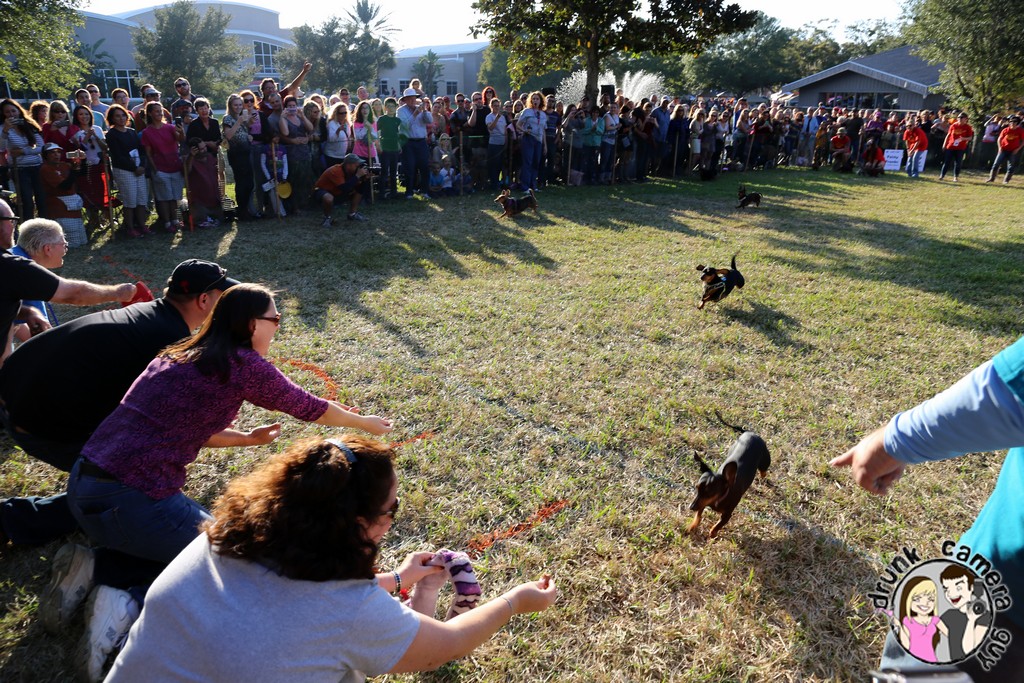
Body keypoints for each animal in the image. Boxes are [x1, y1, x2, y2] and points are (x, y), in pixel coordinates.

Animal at [688, 411, 770, 540]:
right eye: (697, 488)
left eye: (709, 492)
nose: (691, 507)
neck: (719, 498)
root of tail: (751, 433)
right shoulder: (701, 503)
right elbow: (699, 515)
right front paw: (692, 526)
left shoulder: (727, 514)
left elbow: (719, 525)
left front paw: (712, 533)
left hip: (765, 461)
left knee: (763, 471)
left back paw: (763, 478)